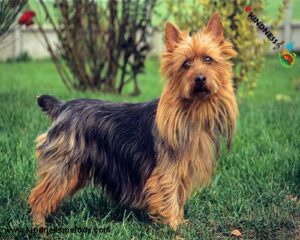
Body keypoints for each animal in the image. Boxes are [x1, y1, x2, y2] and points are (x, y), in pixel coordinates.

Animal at [28, 11, 239, 229]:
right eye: (186, 64)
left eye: (208, 59)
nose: (199, 78)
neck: (192, 110)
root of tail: (63, 107)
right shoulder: (167, 171)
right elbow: (170, 194)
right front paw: (173, 226)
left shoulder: (182, 170)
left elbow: (179, 195)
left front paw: (180, 221)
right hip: (64, 164)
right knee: (38, 196)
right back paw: (39, 224)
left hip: (75, 169)